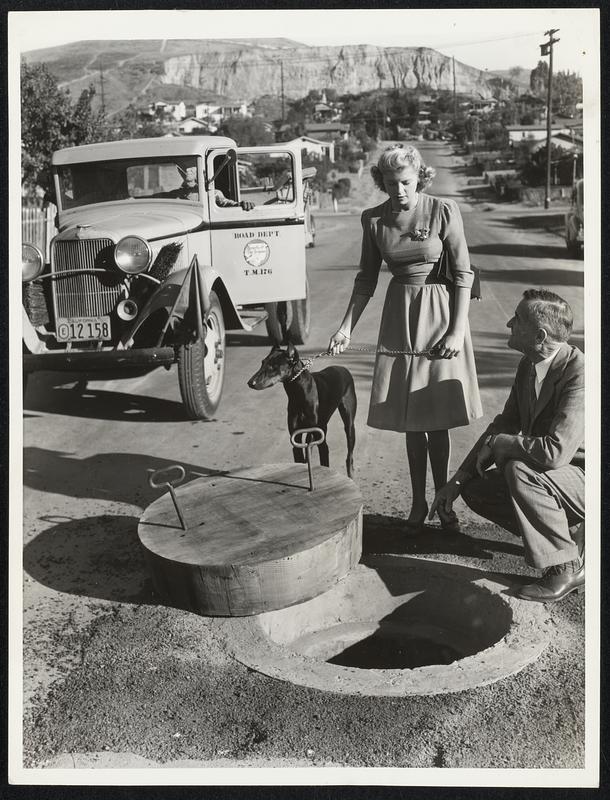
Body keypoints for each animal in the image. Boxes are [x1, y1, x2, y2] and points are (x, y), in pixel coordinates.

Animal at [245, 342, 354, 476]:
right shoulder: (295, 438)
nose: (250, 383)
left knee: (349, 455)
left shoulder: (322, 443)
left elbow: (325, 460)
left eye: (273, 366)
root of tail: (343, 368)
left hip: (348, 424)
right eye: (262, 362)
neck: (298, 392)